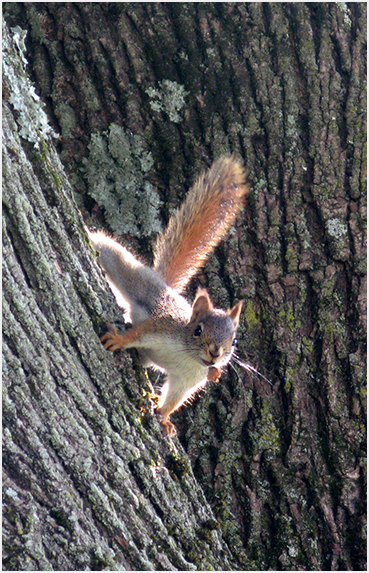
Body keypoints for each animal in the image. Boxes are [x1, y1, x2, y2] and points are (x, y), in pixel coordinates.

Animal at [87, 155, 247, 434]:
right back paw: (88, 233)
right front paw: (119, 339)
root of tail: (165, 284)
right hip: (133, 275)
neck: (188, 357)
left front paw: (163, 418)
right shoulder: (163, 327)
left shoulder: (188, 380)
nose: (215, 353)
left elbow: (174, 399)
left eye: (234, 340)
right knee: (109, 251)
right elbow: (139, 333)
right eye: (198, 330)